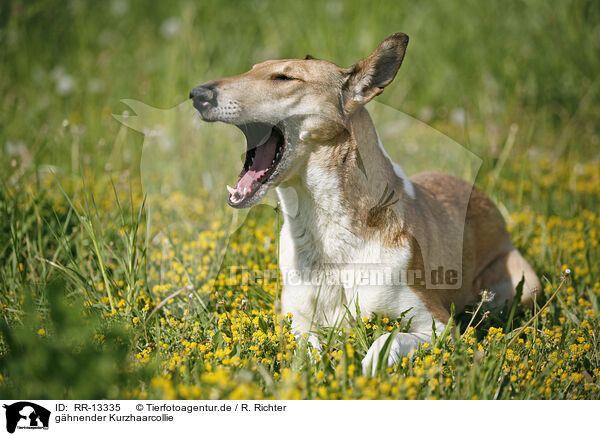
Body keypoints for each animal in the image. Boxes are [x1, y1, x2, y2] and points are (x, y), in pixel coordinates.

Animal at [190, 34, 540, 374]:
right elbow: (307, 349)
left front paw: (369, 369)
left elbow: (389, 338)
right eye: (250, 70)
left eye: (284, 77)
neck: (327, 233)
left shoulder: (439, 325)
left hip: (521, 287)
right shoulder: (296, 323)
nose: (197, 94)